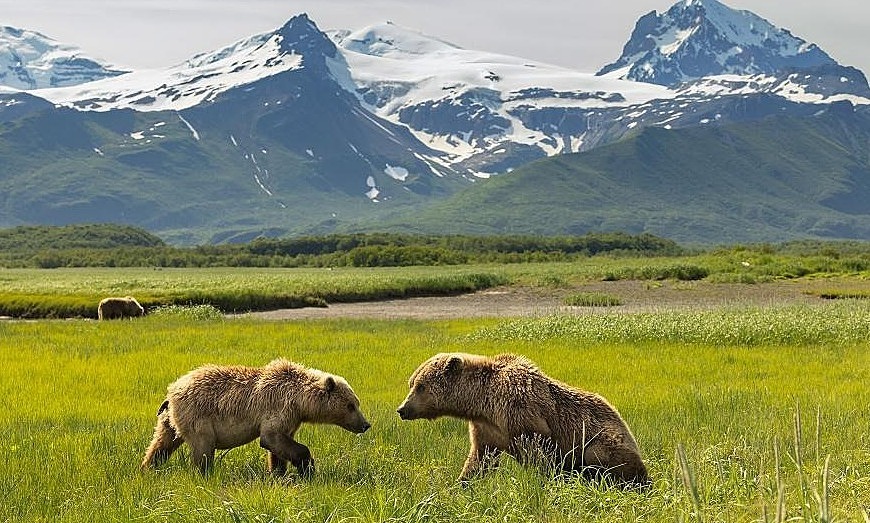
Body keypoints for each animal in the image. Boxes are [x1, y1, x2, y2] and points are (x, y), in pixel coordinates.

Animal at [142, 358, 372, 476]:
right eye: (351, 405)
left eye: (356, 403)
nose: (365, 424)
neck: (300, 400)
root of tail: (172, 391)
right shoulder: (278, 406)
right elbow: (271, 438)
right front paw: (307, 468)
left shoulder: (291, 419)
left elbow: (279, 446)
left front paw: (278, 473)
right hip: (198, 416)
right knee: (203, 448)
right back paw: (204, 474)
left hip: (170, 420)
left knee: (161, 443)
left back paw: (148, 468)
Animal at [398, 352, 652, 488]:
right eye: (411, 383)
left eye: (420, 386)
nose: (402, 409)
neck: (482, 403)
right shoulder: (487, 429)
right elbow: (479, 460)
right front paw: (459, 485)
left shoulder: (521, 412)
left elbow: (539, 455)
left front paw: (546, 482)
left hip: (605, 439)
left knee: (601, 457)